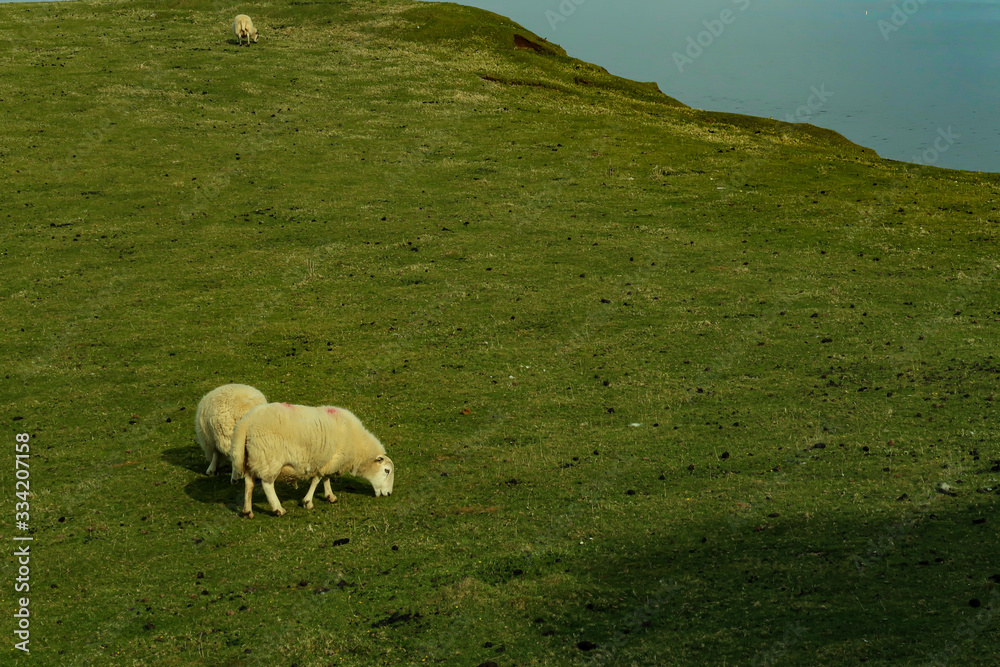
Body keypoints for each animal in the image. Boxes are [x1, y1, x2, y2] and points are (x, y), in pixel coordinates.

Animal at [230, 402, 395, 518]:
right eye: (387, 471)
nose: (389, 494)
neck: (357, 445)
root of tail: (246, 421)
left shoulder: (331, 460)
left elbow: (326, 478)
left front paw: (330, 496)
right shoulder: (328, 462)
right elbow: (317, 479)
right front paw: (308, 501)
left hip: (253, 458)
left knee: (249, 483)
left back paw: (247, 511)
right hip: (269, 457)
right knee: (267, 484)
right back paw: (278, 509)